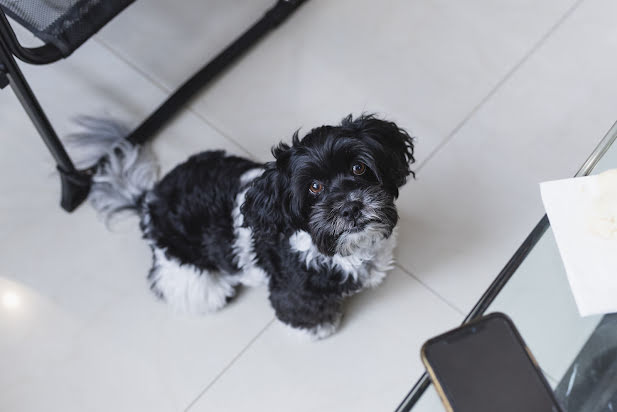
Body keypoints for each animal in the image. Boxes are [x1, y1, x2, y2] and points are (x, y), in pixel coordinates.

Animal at [67, 114, 414, 340]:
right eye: (314, 187)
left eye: (358, 168)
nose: (350, 206)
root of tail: (149, 199)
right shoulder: (292, 290)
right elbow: (301, 311)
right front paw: (321, 327)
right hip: (185, 267)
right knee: (177, 284)